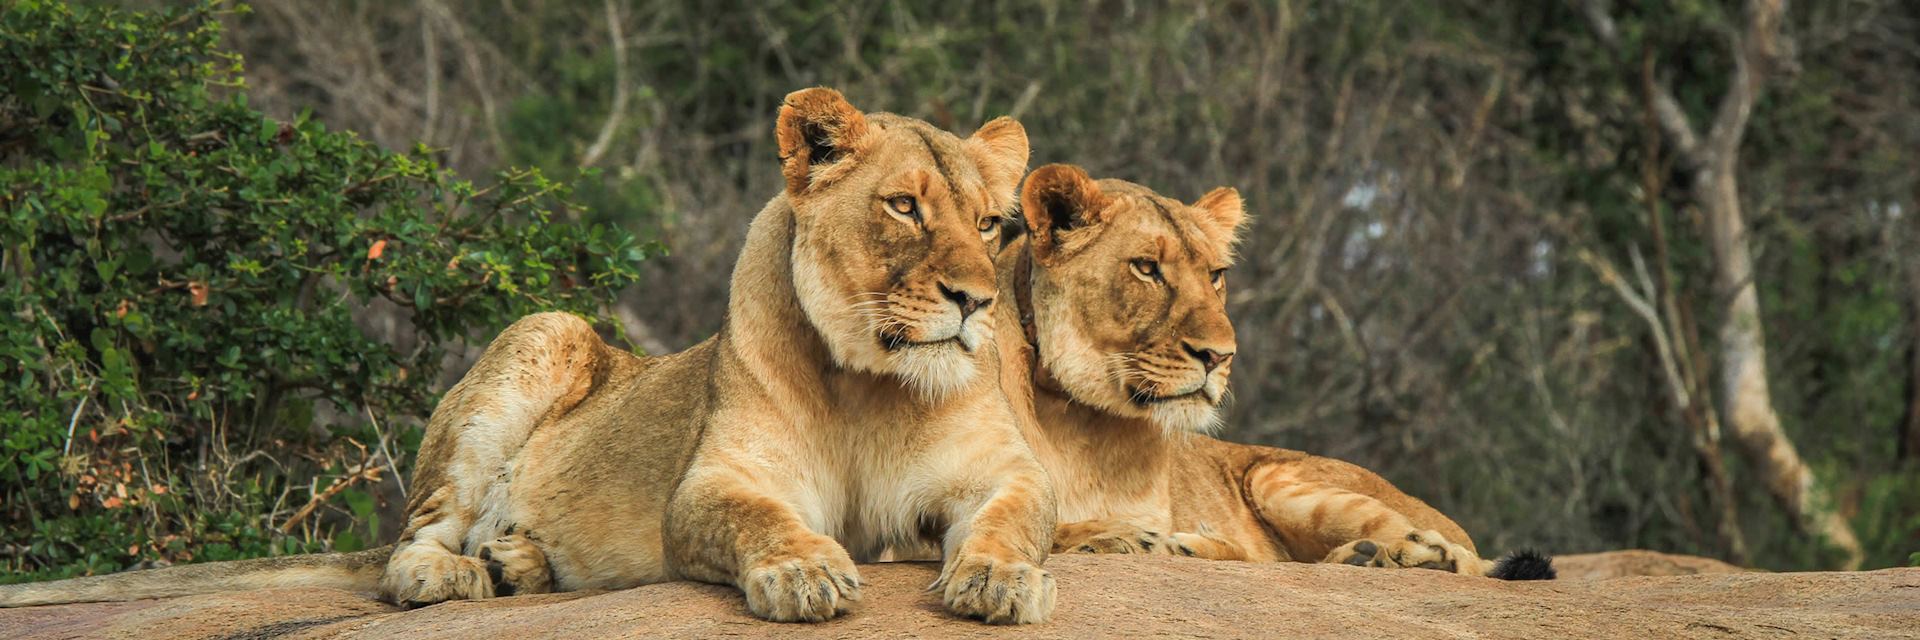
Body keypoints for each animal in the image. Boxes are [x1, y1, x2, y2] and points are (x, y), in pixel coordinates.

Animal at [0, 87, 1059, 618]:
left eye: (992, 223)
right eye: (905, 207)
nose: (973, 301)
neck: (874, 383)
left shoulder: (1004, 473)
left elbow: (1016, 520)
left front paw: (1003, 581)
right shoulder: (712, 484)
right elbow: (759, 520)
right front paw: (806, 574)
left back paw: (522, 564)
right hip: (541, 332)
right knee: (410, 545)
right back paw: (459, 574)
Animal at [983, 164, 1551, 576]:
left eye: (1215, 275)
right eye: (1146, 268)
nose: (1219, 355)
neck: (1082, 422)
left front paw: (1149, 540)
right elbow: (1043, 525)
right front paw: (1118, 536)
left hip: (1276, 477)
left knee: (1465, 559)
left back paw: (1405, 554)